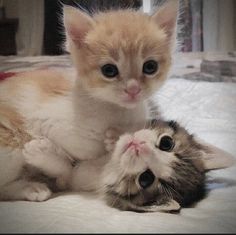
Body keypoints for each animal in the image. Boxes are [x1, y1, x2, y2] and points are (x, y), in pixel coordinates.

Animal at [0, 0, 179, 201]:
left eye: (150, 67)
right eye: (109, 70)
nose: (133, 89)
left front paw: (116, 136)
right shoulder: (47, 121)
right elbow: (71, 163)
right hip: (9, 141)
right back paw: (31, 187)